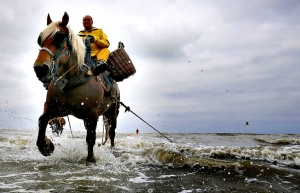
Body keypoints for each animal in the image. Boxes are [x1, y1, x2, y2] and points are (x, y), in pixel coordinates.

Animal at [33, 11, 119, 163]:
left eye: (60, 37)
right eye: (40, 39)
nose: (40, 68)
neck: (70, 82)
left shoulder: (92, 114)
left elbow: (91, 138)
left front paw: (90, 159)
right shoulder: (56, 108)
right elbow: (42, 120)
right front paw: (46, 146)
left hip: (111, 113)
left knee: (112, 132)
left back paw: (112, 150)